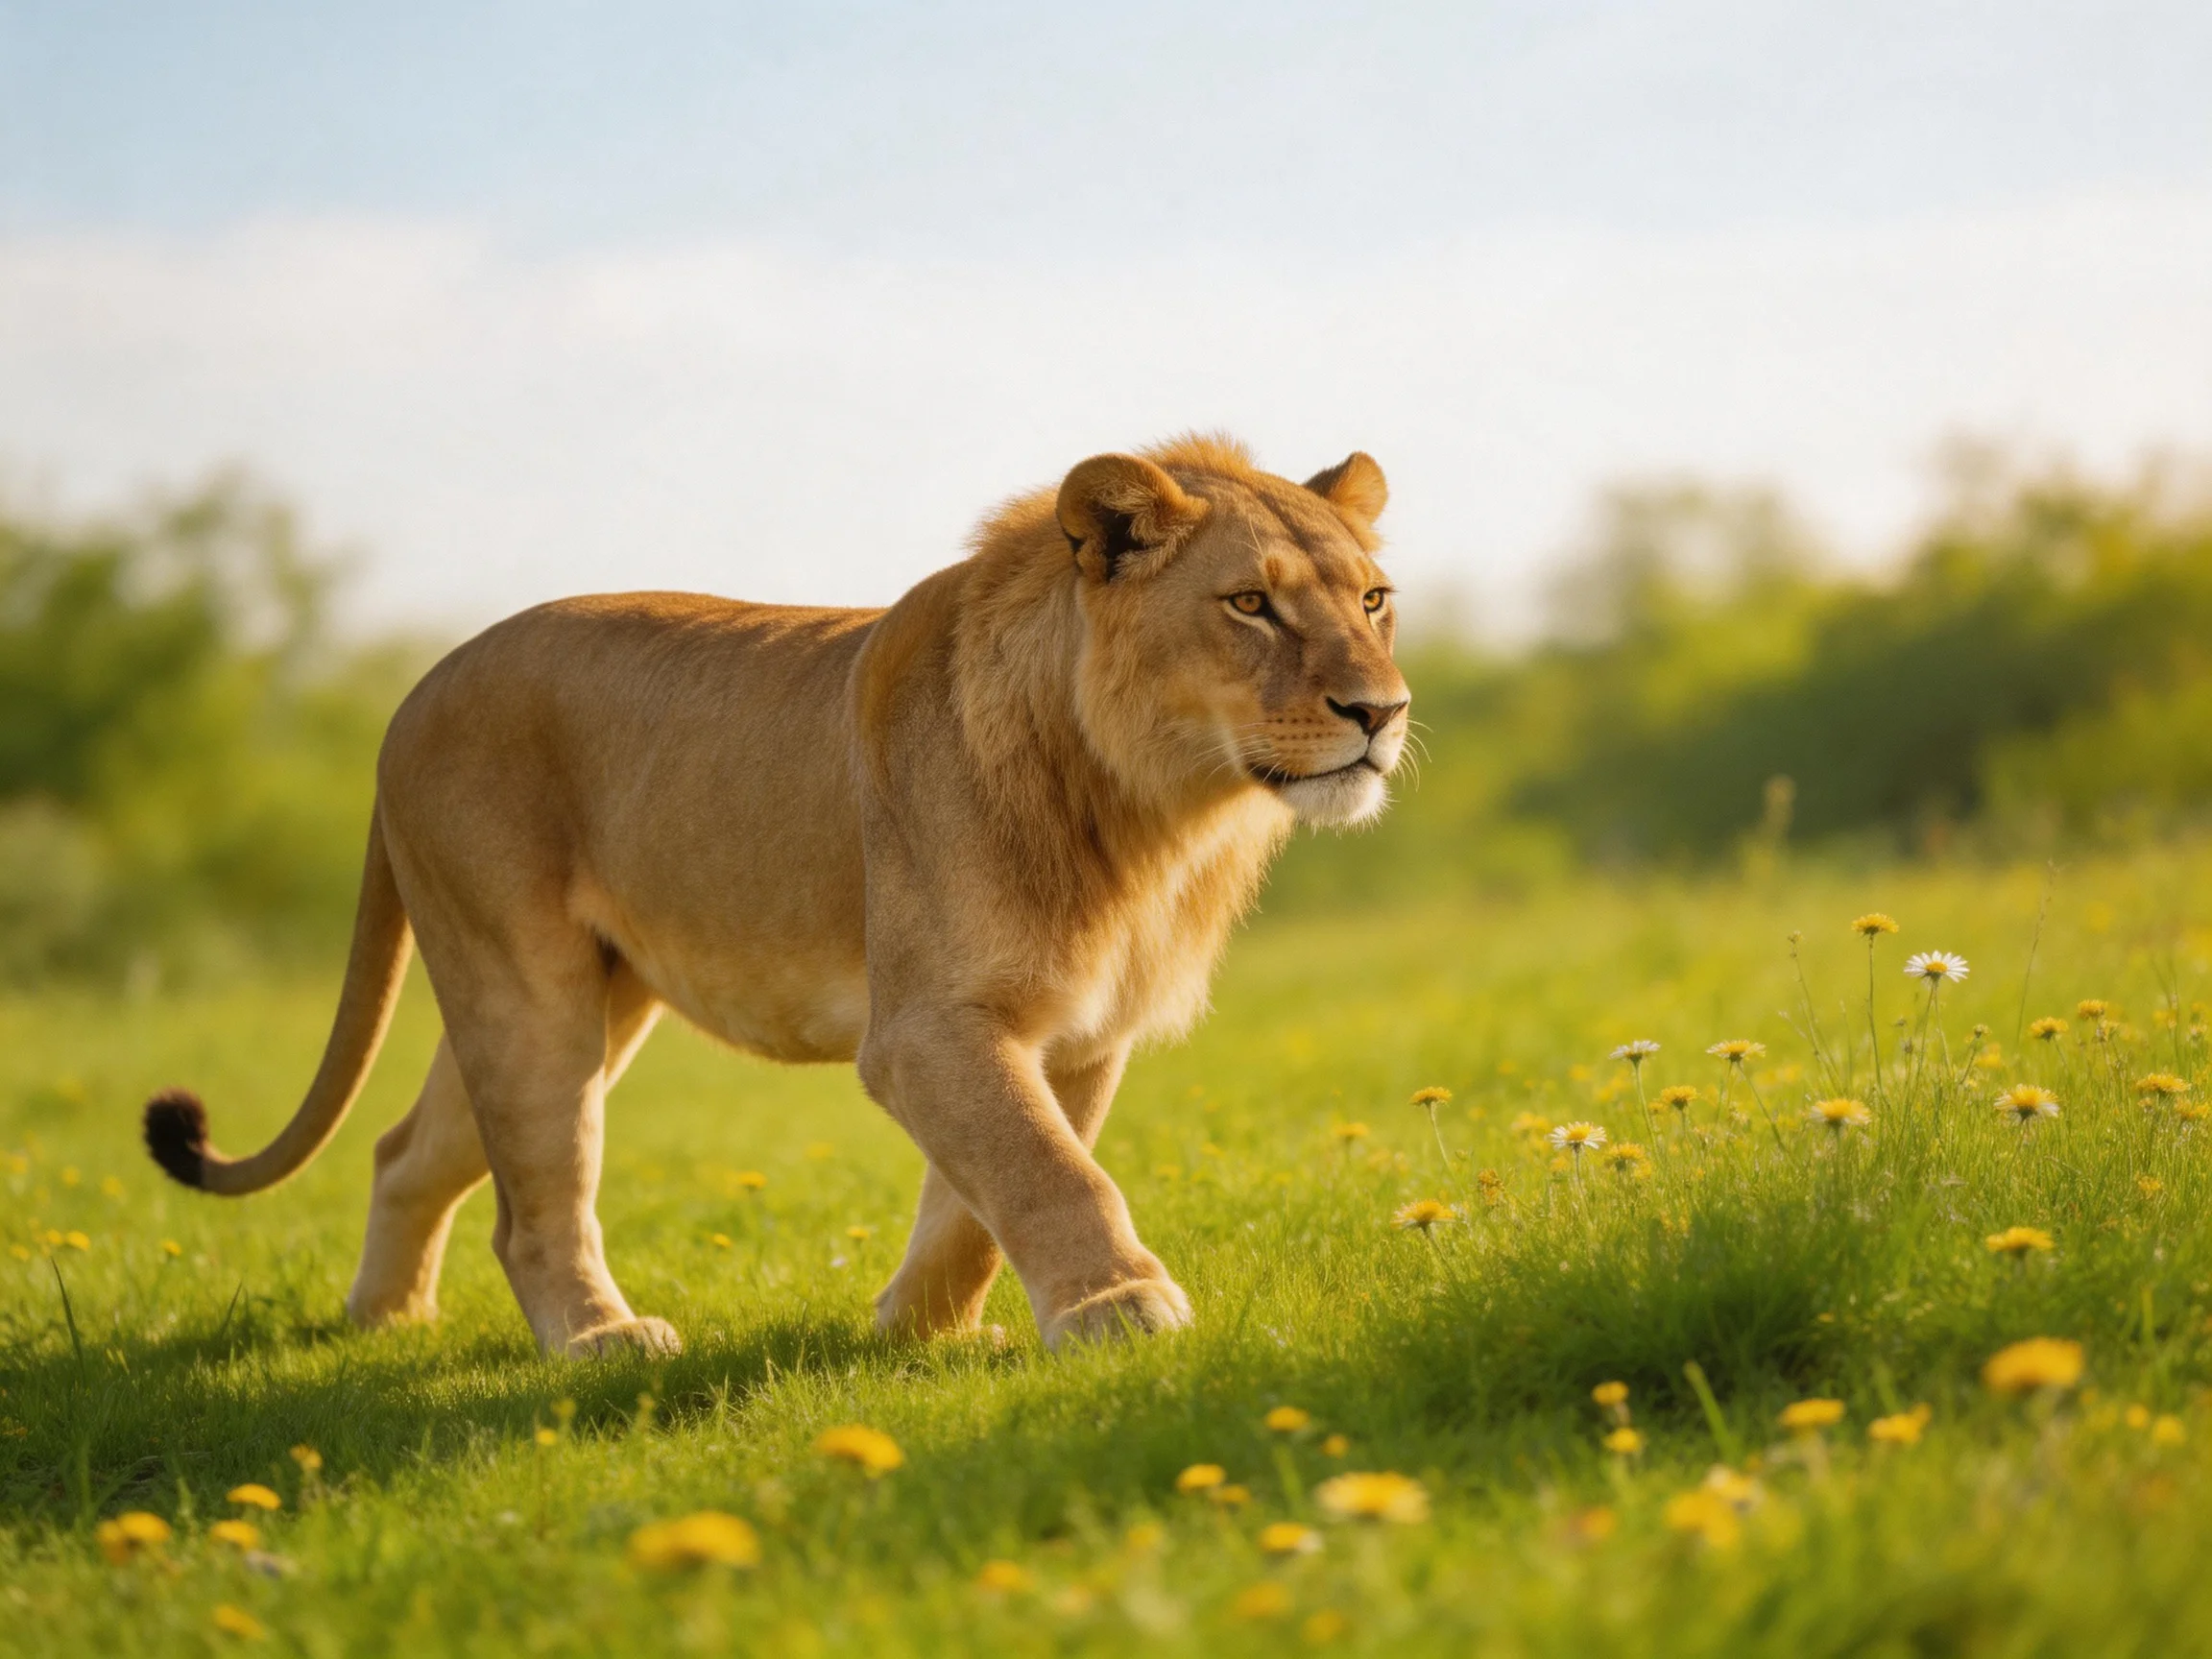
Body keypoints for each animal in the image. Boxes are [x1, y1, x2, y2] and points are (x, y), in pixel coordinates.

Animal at [142, 434, 1411, 1356]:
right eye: (1250, 605)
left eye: (1374, 600)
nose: (1382, 711)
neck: (1153, 812)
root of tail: (413, 694)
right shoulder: (925, 1026)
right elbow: (1048, 1169)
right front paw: (1116, 1308)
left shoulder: (1079, 1031)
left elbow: (981, 1197)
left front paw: (921, 1334)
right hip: (528, 991)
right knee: (534, 1203)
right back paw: (598, 1341)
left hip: (577, 997)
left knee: (409, 1149)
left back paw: (383, 1323)